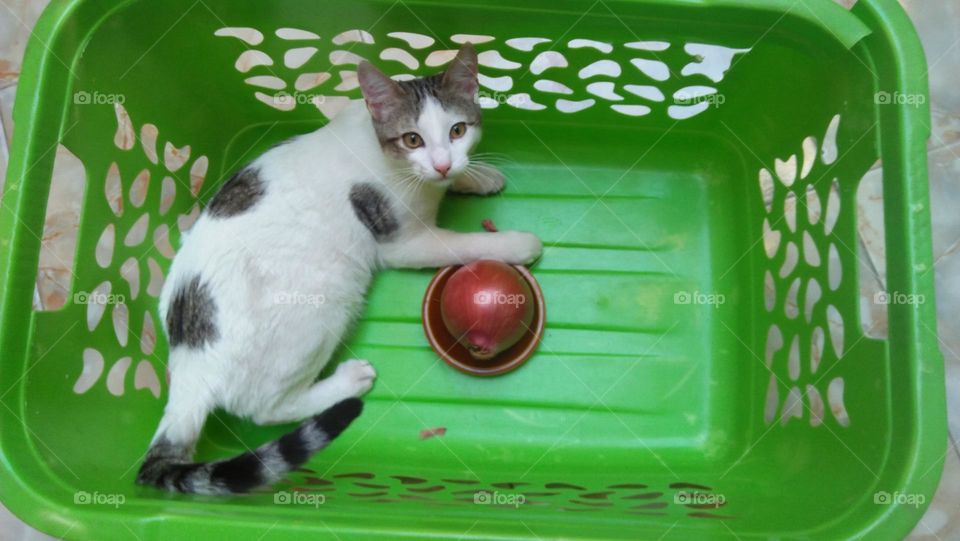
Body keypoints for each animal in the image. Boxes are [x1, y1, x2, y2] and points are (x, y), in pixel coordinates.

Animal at [136, 45, 544, 494]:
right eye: (412, 139)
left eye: (457, 130)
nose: (441, 165)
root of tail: (189, 361)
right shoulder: (401, 244)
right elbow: (460, 242)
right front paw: (517, 243)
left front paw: (477, 175)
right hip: (325, 300)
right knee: (266, 408)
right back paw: (348, 382)